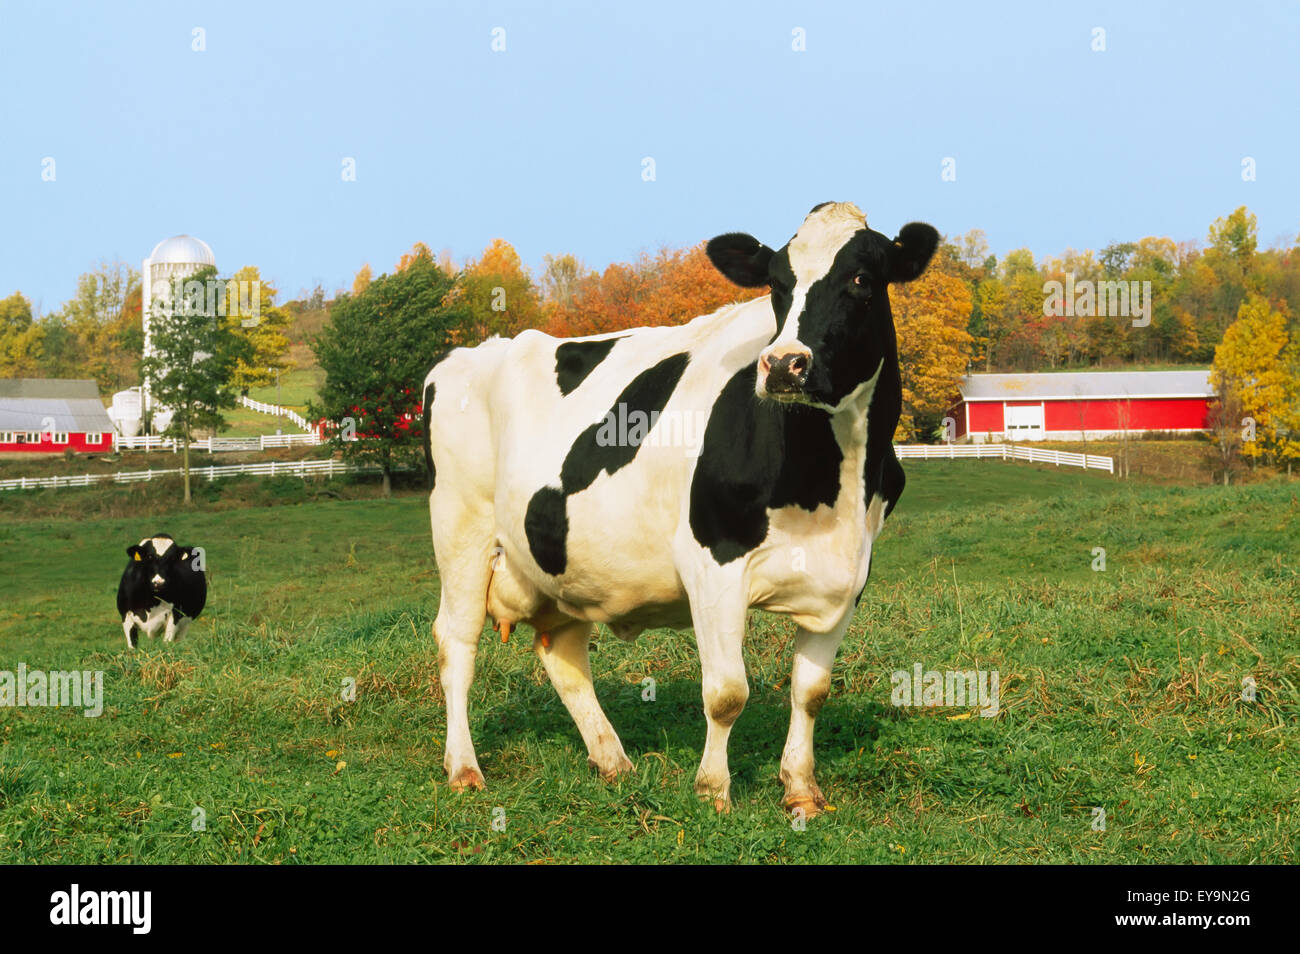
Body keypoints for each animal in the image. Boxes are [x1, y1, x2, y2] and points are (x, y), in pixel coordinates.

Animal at [423, 202, 937, 815]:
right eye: (777, 284)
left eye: (861, 279)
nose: (783, 364)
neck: (827, 485)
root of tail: (470, 352)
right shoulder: (712, 563)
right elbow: (726, 692)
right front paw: (713, 790)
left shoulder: (851, 571)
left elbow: (810, 691)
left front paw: (801, 789)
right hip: (462, 527)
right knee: (457, 642)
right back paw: (463, 768)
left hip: (562, 561)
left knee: (562, 653)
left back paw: (613, 761)